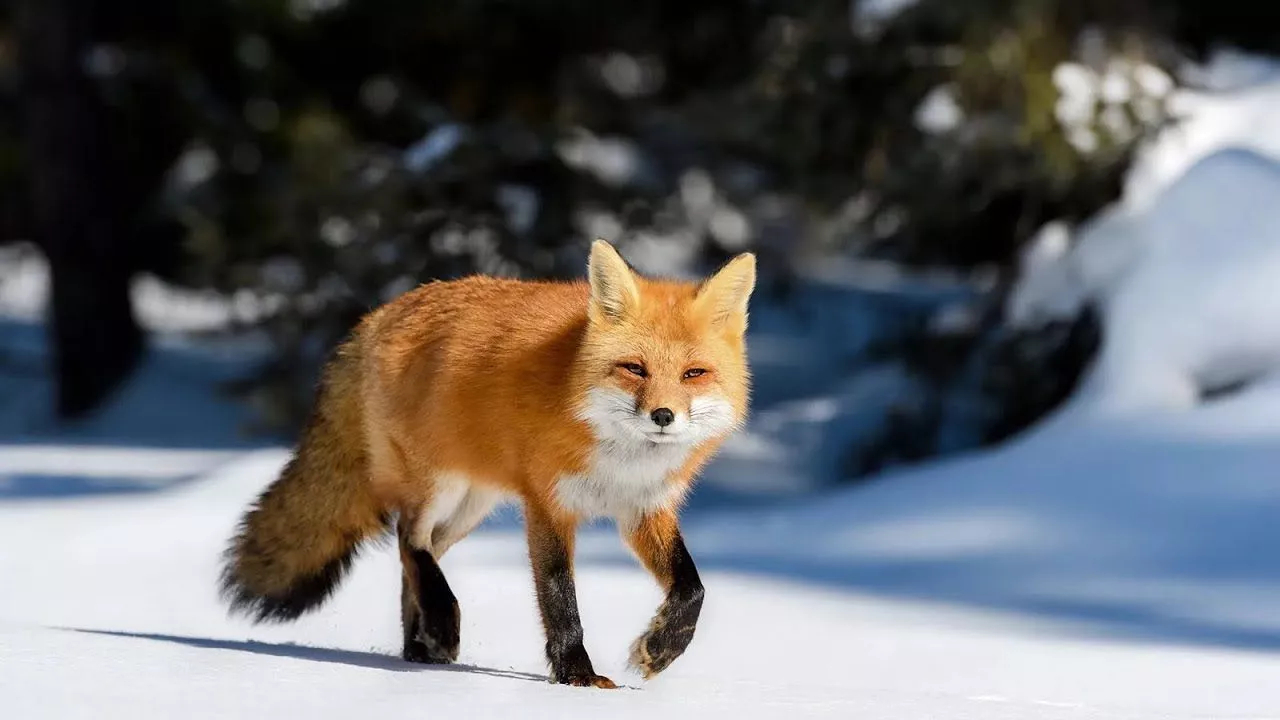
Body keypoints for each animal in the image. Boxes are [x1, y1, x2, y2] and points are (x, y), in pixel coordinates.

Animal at [219, 239, 756, 688]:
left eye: (693, 374)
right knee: (408, 538)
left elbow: (692, 588)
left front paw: (659, 649)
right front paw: (577, 678)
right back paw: (440, 623)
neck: (619, 460)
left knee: (416, 558)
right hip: (437, 486)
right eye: (634, 369)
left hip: (470, 508)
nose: (663, 415)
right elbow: (559, 598)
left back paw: (419, 648)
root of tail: (380, 314)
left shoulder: (644, 509)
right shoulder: (547, 505)